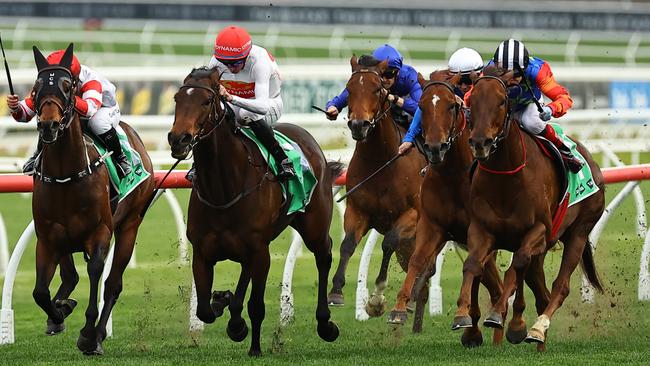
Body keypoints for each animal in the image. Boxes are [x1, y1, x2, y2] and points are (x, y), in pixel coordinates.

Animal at [29, 43, 155, 354]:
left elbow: (97, 272)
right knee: (70, 276)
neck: (67, 175)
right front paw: (59, 312)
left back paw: (97, 335)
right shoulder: (47, 238)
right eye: (36, 88)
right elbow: (40, 292)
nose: (48, 126)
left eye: (68, 86)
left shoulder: (100, 232)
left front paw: (87, 334)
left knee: (113, 284)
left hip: (130, 224)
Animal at [165, 67, 342, 356]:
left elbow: (255, 306)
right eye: (177, 99)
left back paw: (325, 323)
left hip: (313, 227)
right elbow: (204, 310)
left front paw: (251, 343)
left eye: (206, 101)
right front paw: (222, 302)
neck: (223, 190)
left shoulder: (261, 252)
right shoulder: (203, 253)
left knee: (324, 256)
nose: (179, 139)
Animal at [326, 55, 428, 332]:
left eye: (376, 89)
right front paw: (336, 291)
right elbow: (348, 244)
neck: (381, 162)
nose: (358, 125)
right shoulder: (357, 210)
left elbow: (388, 242)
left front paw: (377, 300)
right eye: (349, 89)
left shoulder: (411, 215)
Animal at [384, 71, 506, 346]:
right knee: (494, 286)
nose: (435, 147)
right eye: (420, 106)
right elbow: (418, 260)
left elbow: (473, 269)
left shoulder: (477, 233)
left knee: (496, 287)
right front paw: (399, 308)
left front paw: (462, 314)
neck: (453, 176)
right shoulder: (432, 226)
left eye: (452, 105)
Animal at [450, 66, 604, 348]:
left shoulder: (538, 230)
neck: (506, 176)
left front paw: (497, 315)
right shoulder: (481, 229)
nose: (480, 142)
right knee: (540, 288)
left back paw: (537, 328)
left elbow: (517, 263)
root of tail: (592, 162)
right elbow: (472, 264)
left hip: (578, 232)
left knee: (560, 286)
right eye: (472, 99)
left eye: (502, 100)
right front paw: (462, 314)